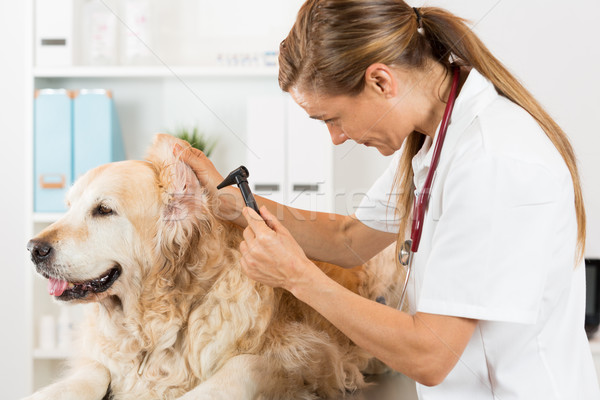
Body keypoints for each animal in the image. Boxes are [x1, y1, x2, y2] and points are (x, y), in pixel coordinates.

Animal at [24, 135, 398, 400]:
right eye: (69, 206)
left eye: (103, 210)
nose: (33, 249)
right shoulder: (101, 354)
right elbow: (94, 372)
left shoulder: (307, 352)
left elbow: (241, 365)